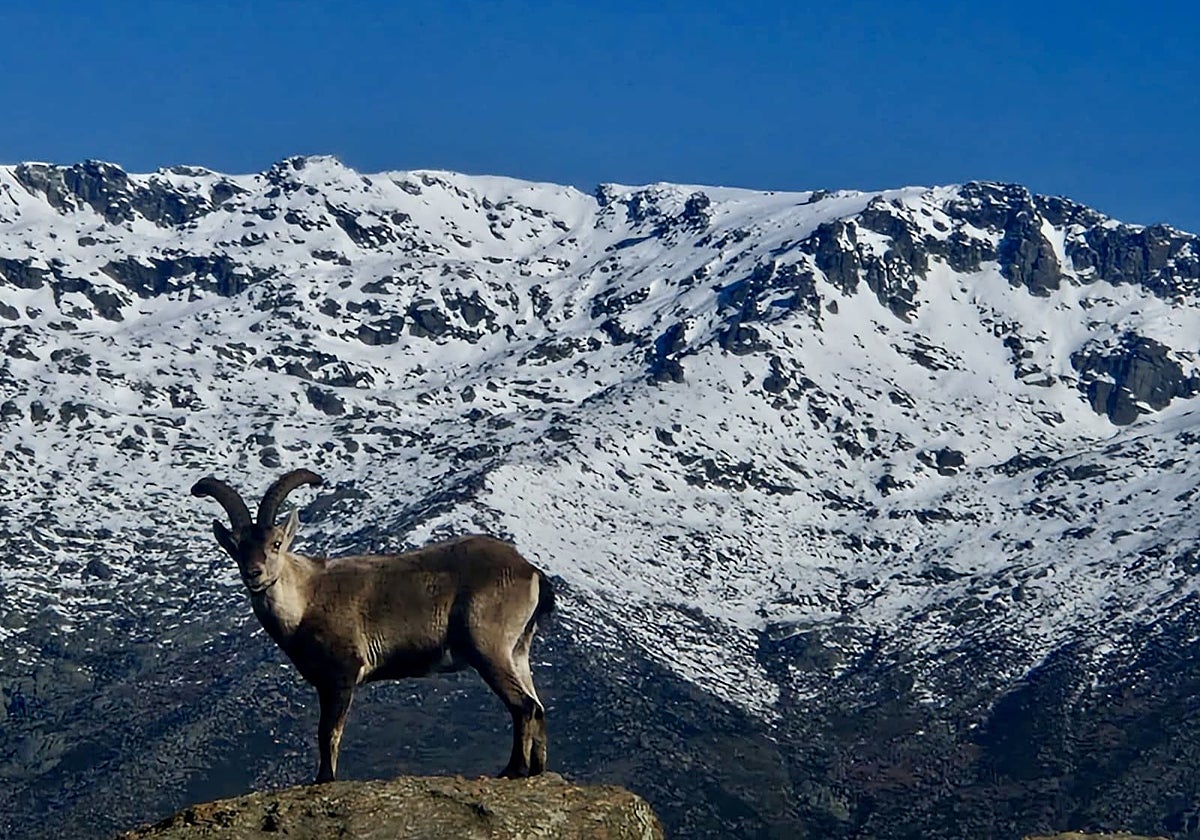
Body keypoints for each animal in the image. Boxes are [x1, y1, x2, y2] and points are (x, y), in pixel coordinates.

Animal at [191, 469, 555, 783]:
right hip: (518, 650)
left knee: (523, 706)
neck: (305, 600)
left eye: (276, 544)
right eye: (236, 548)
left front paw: (324, 780)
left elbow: (328, 734)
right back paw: (536, 772)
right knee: (537, 707)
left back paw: (512, 770)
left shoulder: (341, 675)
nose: (254, 574)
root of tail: (529, 570)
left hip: (488, 647)